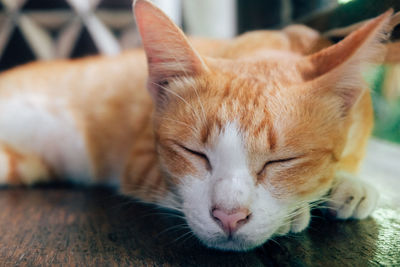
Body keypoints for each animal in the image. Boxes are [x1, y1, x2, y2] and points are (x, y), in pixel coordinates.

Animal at [0, 0, 398, 252]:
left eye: (282, 161)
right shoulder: (140, 159)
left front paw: (349, 184)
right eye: (194, 153)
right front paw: (298, 211)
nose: (229, 217)